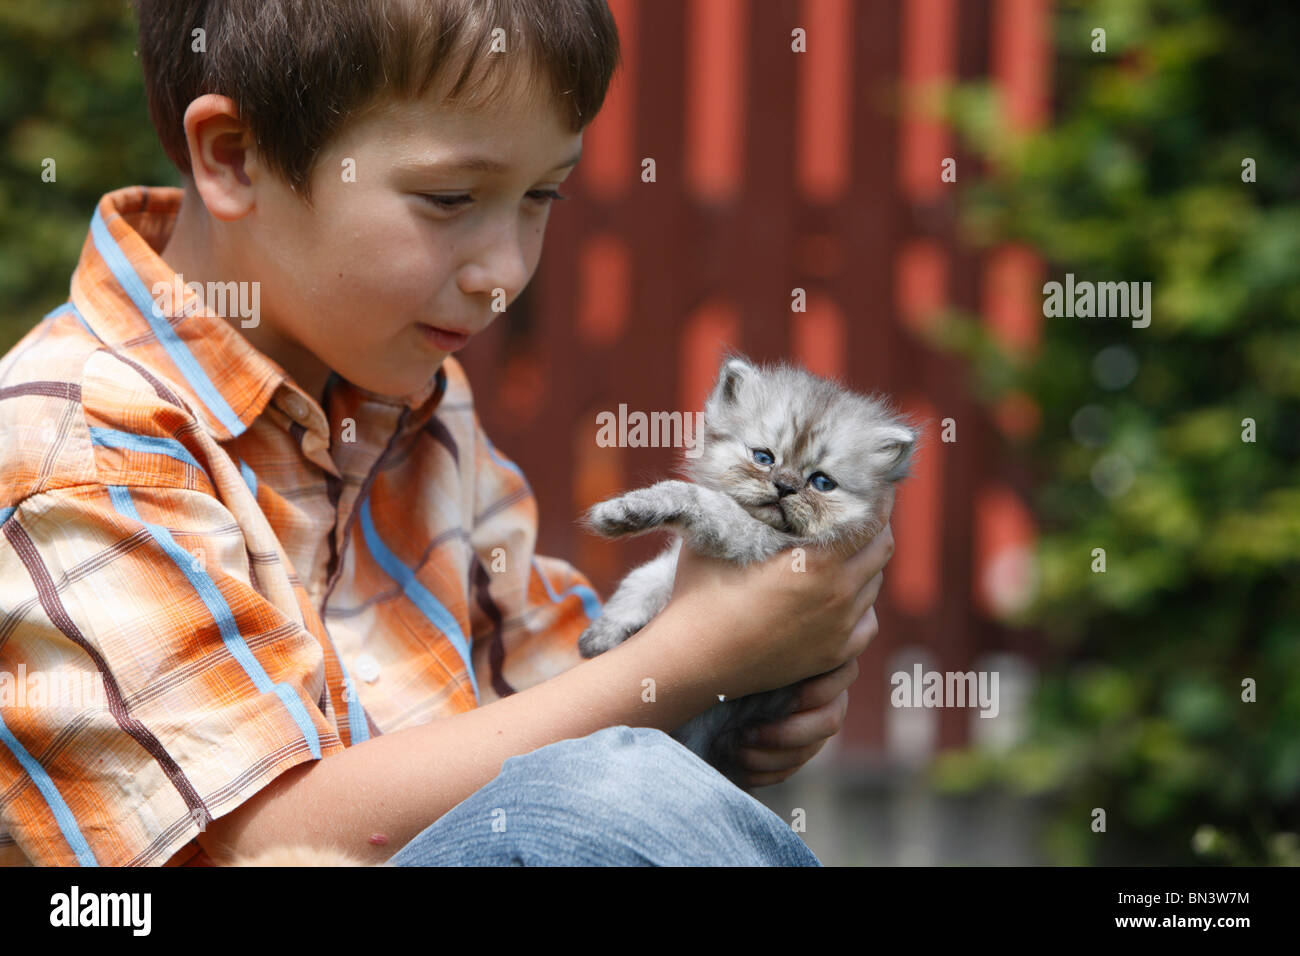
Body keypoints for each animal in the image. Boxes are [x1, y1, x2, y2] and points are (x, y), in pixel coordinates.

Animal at [574, 351, 920, 785]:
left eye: (822, 482)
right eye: (763, 458)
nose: (785, 487)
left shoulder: (755, 539)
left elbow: (697, 500)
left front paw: (632, 509)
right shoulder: (671, 564)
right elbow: (642, 581)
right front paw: (604, 633)